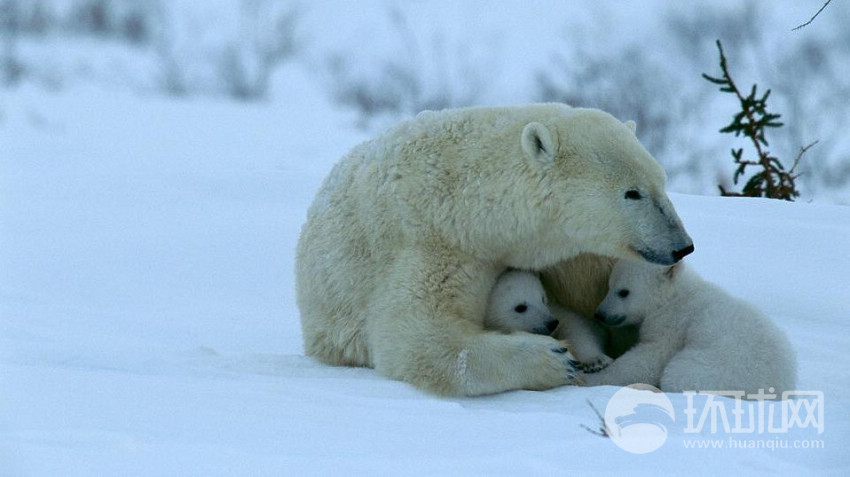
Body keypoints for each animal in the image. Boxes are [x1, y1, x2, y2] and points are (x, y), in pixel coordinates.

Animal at [294, 103, 692, 394]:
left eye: (662, 182)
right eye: (632, 192)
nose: (682, 246)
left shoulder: (570, 253)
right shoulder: (436, 244)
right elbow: (418, 338)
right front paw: (553, 359)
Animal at [580, 258, 792, 396]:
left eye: (624, 292)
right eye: (609, 286)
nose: (600, 314)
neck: (674, 295)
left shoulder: (673, 322)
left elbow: (649, 357)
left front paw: (590, 379)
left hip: (718, 369)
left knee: (676, 375)